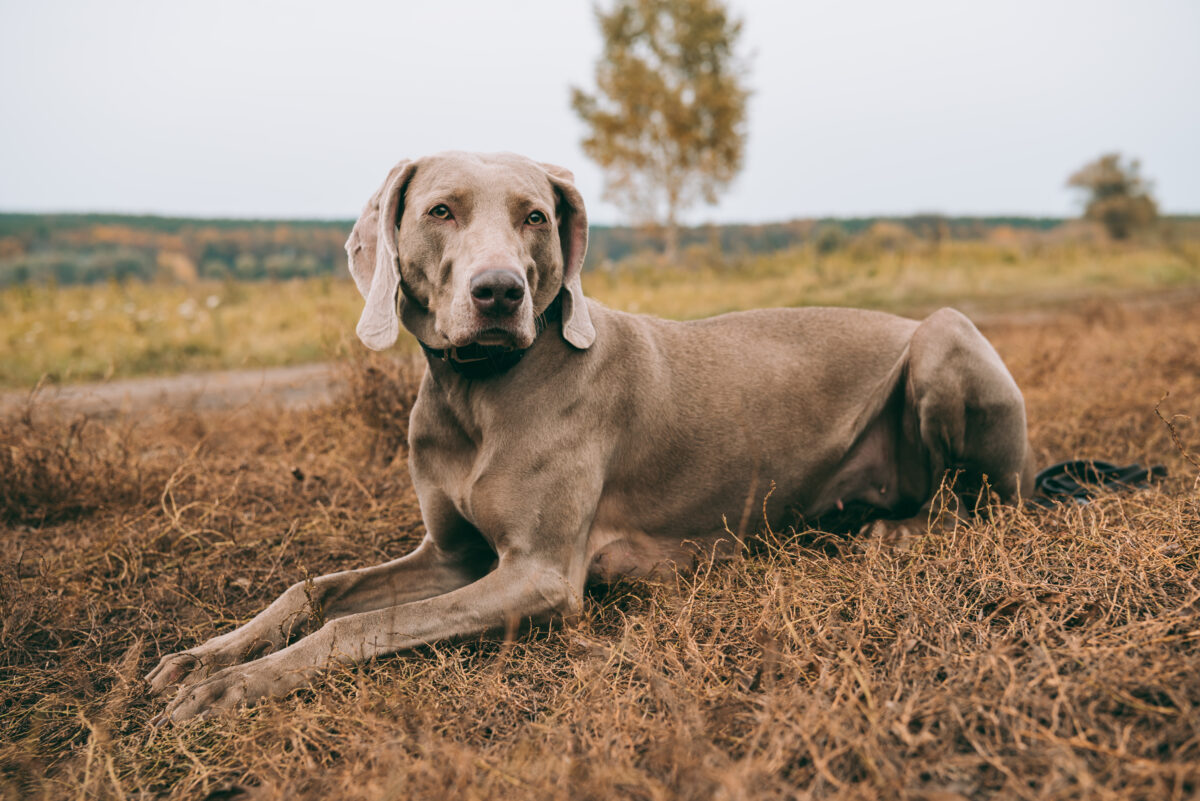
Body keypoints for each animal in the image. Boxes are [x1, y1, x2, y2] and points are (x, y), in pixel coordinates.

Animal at [147, 149, 1032, 719]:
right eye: (440, 211)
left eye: (535, 216)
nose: (499, 291)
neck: (479, 393)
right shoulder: (453, 556)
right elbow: (314, 590)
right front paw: (207, 656)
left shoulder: (538, 574)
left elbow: (356, 623)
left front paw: (233, 687)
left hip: (946, 335)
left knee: (980, 502)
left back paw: (892, 529)